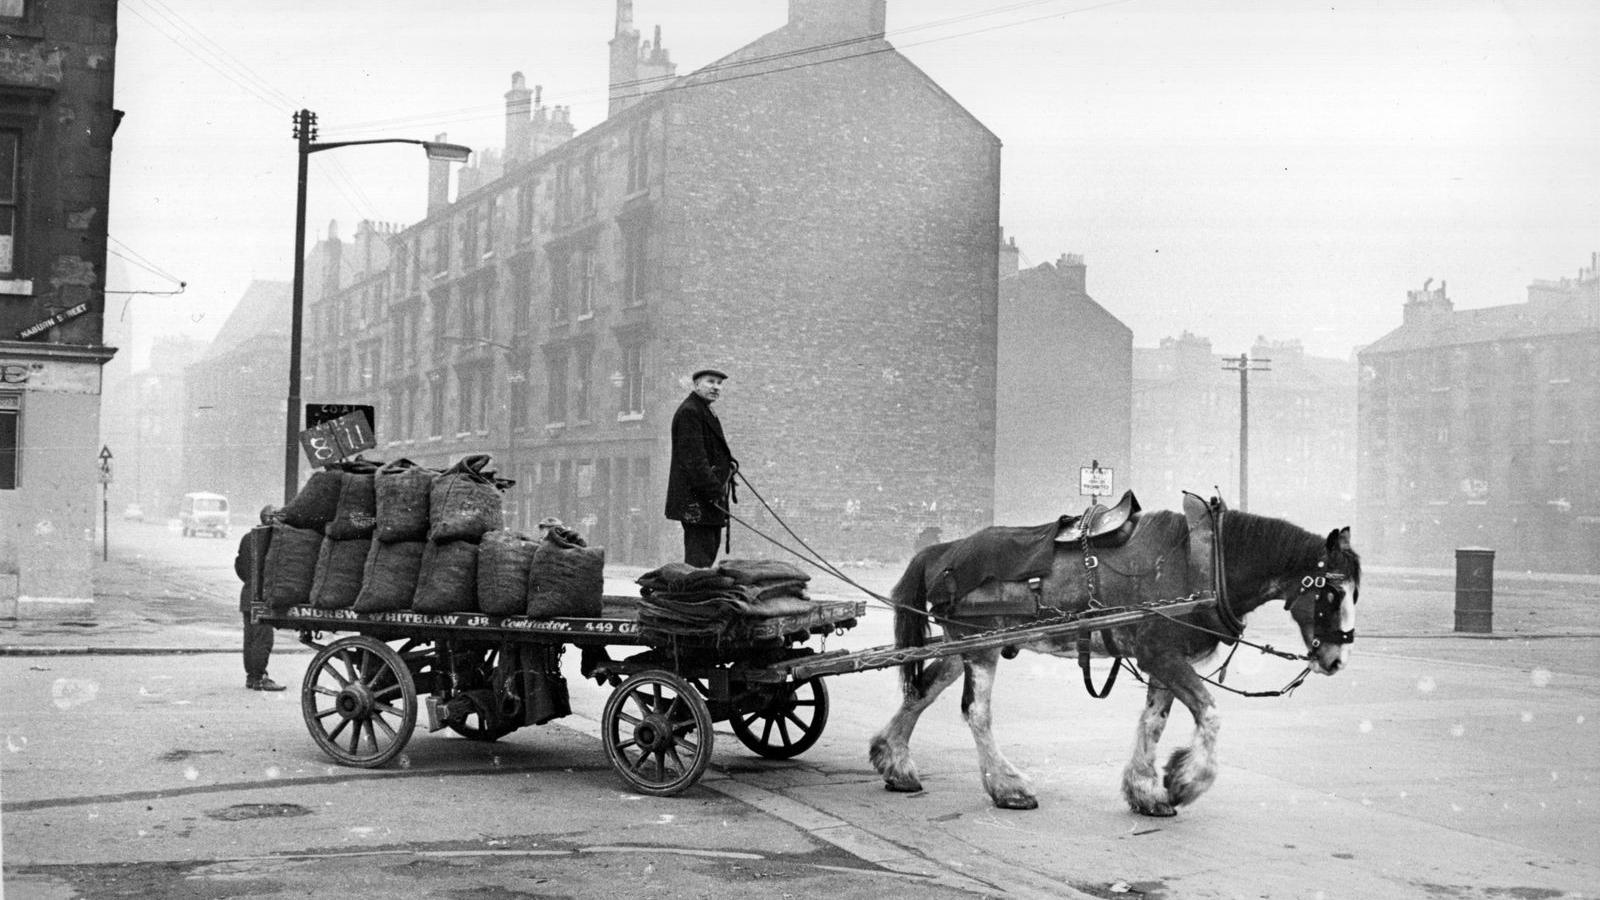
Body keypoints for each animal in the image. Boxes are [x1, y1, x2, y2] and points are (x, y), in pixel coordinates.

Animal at [870, 496, 1356, 813]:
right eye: (1331, 592)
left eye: (1356, 591)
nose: (1336, 659)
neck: (1202, 563)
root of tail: (942, 549)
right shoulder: (1160, 653)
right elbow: (1210, 712)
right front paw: (1184, 781)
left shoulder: (1162, 659)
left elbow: (1154, 722)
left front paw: (1146, 790)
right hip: (981, 644)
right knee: (977, 713)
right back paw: (1008, 788)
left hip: (960, 645)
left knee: (921, 691)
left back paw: (894, 761)